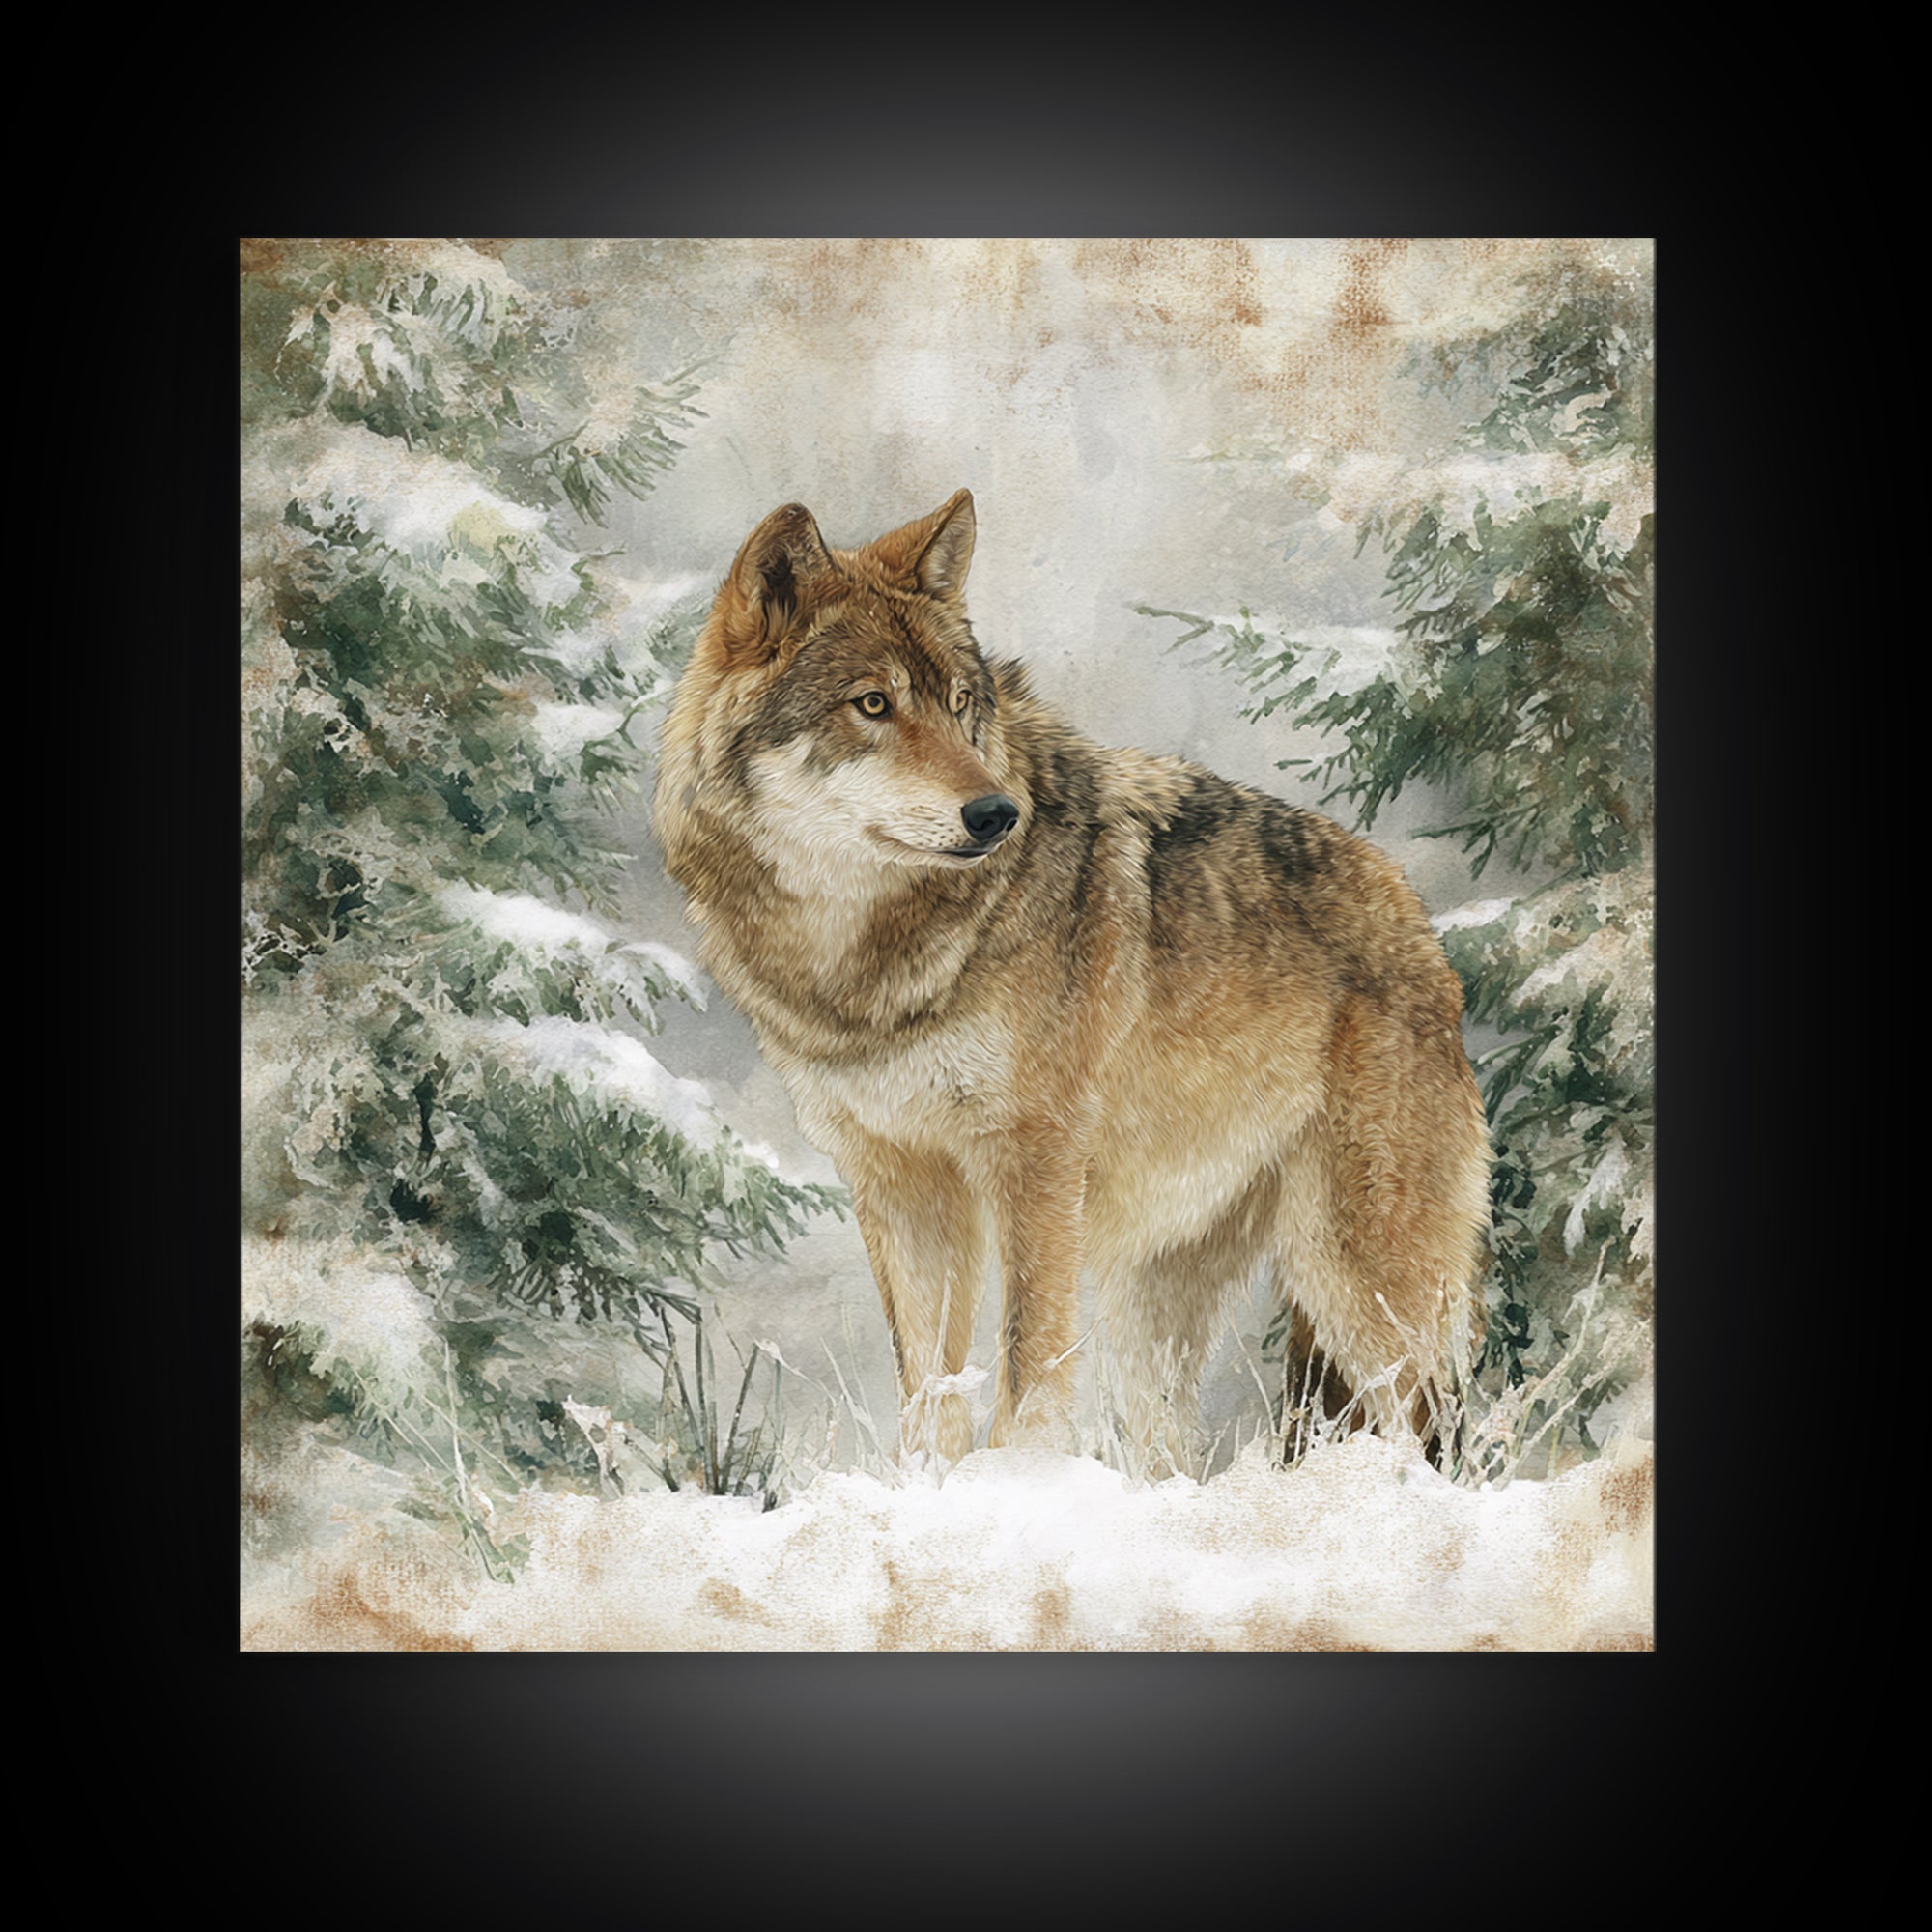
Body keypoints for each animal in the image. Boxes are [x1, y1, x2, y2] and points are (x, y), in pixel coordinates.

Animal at [654, 489, 1490, 1473]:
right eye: (873, 704)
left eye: (961, 705)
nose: (995, 814)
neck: (867, 967)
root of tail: (1416, 921)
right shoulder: (899, 1181)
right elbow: (929, 1386)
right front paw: (931, 1485)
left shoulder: (1035, 1159)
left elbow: (1029, 1361)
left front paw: (1018, 1480)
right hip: (1157, 1301)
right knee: (1171, 1447)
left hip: (1360, 1275)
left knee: (1432, 1427)